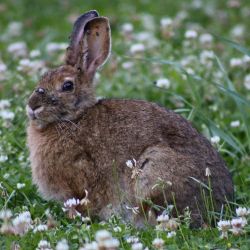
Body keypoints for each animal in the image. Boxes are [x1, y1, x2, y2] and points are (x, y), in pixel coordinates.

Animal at [26, 10, 233, 228]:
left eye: (67, 86)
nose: (32, 106)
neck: (75, 118)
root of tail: (220, 205)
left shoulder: (78, 182)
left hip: (152, 172)